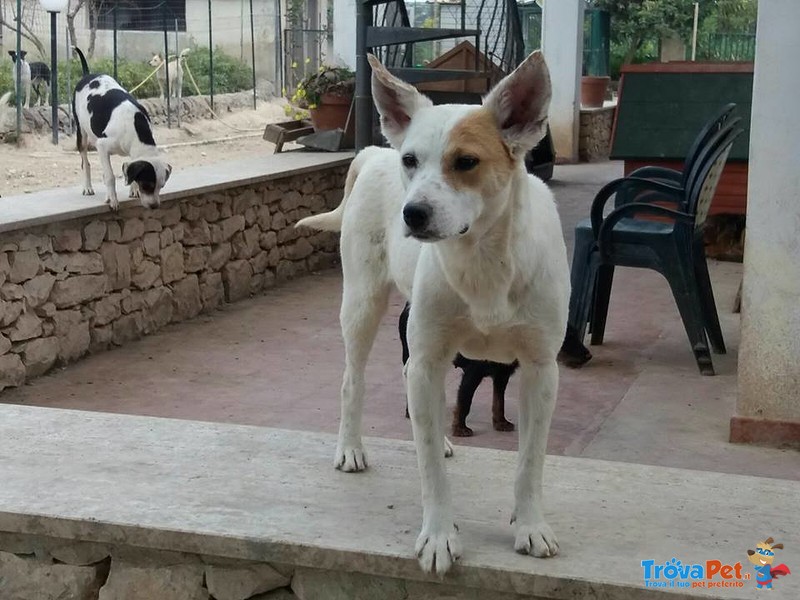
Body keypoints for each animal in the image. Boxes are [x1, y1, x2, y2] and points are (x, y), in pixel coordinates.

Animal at [72, 45, 172, 209]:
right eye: (146, 185)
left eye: (161, 186)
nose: (154, 206)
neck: (135, 127)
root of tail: (87, 75)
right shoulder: (102, 146)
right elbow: (110, 176)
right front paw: (113, 199)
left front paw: (133, 190)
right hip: (82, 133)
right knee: (85, 162)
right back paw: (87, 187)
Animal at [298, 52, 568, 576]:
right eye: (412, 161)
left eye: (466, 162)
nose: (412, 214)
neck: (482, 264)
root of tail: (372, 152)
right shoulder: (429, 359)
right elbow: (430, 472)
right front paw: (440, 536)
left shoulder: (541, 369)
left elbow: (530, 461)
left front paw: (530, 525)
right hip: (361, 305)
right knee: (352, 380)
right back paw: (350, 448)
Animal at [398, 304, 592, 436]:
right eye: (569, 336)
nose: (588, 355)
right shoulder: (472, 375)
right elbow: (465, 402)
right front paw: (460, 428)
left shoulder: (501, 376)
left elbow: (499, 402)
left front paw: (501, 423)